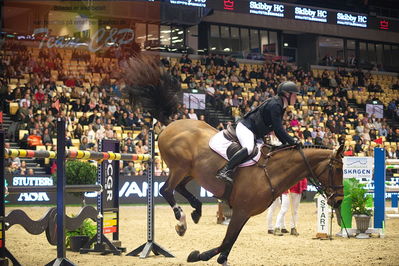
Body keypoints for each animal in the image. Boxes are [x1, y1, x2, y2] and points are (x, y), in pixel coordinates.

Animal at [123, 56, 346, 264]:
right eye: (336, 169)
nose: (338, 200)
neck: (272, 171)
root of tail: (171, 124)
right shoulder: (241, 210)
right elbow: (226, 241)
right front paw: (197, 255)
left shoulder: (245, 213)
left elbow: (229, 243)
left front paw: (215, 257)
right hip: (179, 167)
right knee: (166, 190)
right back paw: (182, 221)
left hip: (190, 172)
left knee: (179, 188)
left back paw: (196, 210)